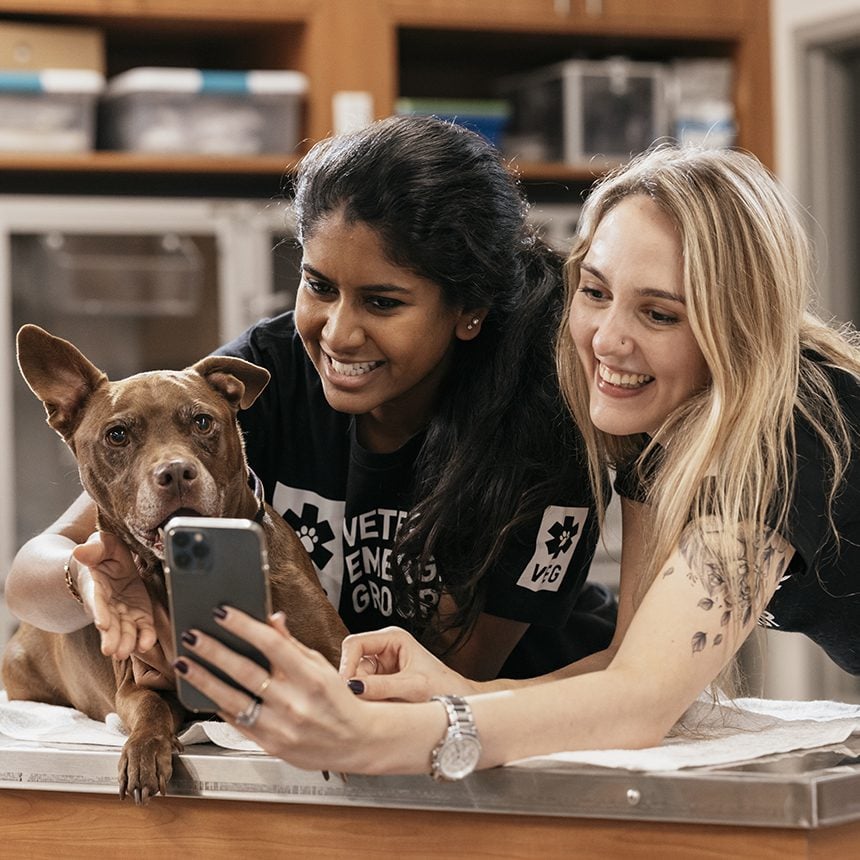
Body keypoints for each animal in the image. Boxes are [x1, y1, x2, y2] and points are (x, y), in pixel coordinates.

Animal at [4, 326, 346, 804]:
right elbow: (148, 710)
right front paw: (146, 750)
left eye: (202, 422)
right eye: (117, 435)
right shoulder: (140, 684)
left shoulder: (335, 650)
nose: (177, 472)